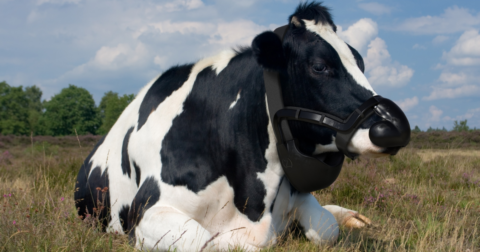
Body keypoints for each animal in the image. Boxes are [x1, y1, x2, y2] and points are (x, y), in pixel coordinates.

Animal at [73, 2, 410, 252]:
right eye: (319, 66)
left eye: (361, 62)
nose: (395, 127)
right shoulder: (147, 210)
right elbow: (208, 241)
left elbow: (327, 227)